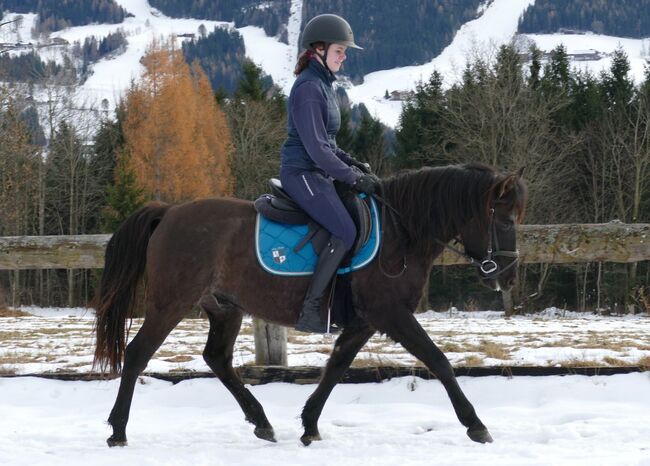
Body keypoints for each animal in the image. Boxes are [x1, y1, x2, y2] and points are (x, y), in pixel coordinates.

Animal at [93, 162, 526, 447]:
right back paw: (118, 430)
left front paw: (309, 424)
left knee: (217, 358)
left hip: (225, 307)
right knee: (137, 354)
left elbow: (336, 366)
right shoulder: (391, 314)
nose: (507, 275)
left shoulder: (365, 321)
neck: (401, 232)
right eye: (504, 220)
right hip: (170, 303)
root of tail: (168, 212)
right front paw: (475, 424)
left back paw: (261, 421)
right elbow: (438, 360)